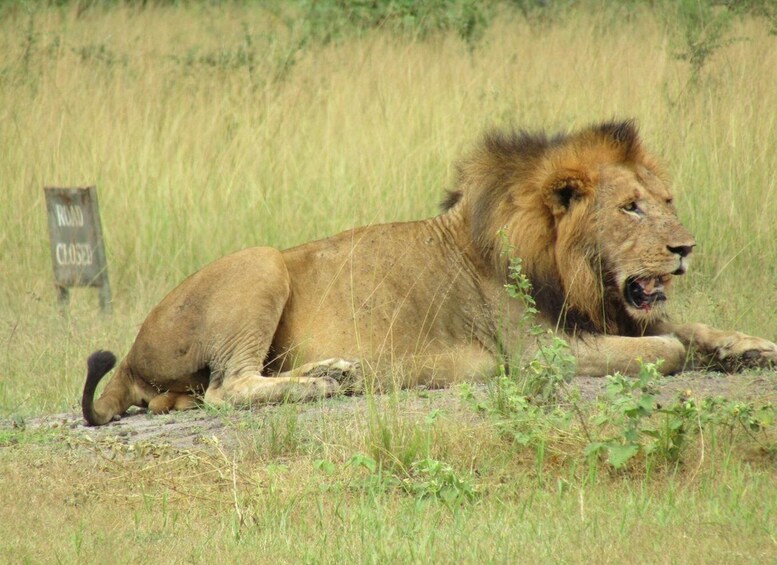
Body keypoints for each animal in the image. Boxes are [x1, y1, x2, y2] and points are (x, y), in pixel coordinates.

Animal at [82, 120, 777, 425]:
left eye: (666, 201)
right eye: (630, 207)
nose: (686, 248)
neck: (572, 269)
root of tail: (130, 359)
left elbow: (688, 328)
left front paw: (751, 348)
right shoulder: (539, 353)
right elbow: (667, 349)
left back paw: (336, 372)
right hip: (260, 261)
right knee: (230, 387)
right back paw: (322, 384)